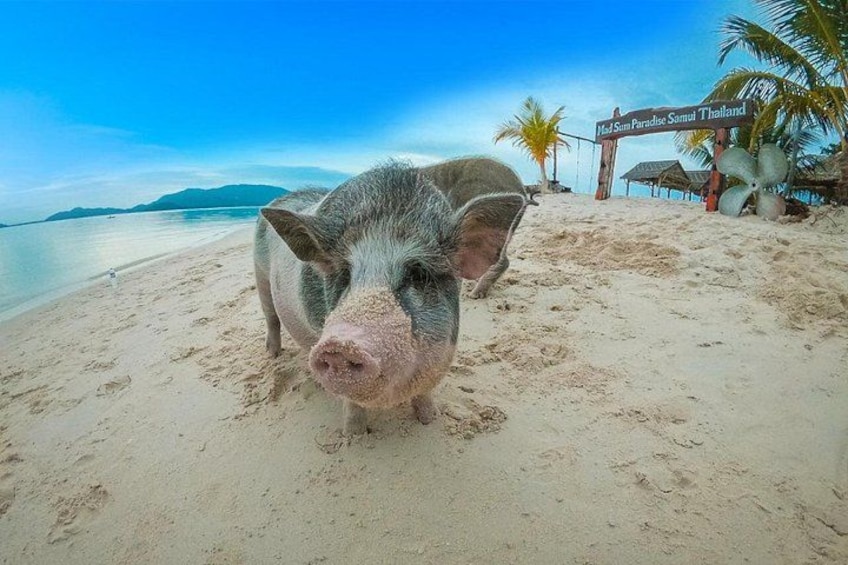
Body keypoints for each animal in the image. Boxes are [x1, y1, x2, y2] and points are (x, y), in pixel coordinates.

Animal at [254, 161, 527, 435]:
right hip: (260, 277)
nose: (340, 346)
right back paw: (272, 355)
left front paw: (430, 420)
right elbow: (352, 403)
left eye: (418, 274)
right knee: (271, 318)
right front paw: (354, 435)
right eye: (345, 274)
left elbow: (424, 392)